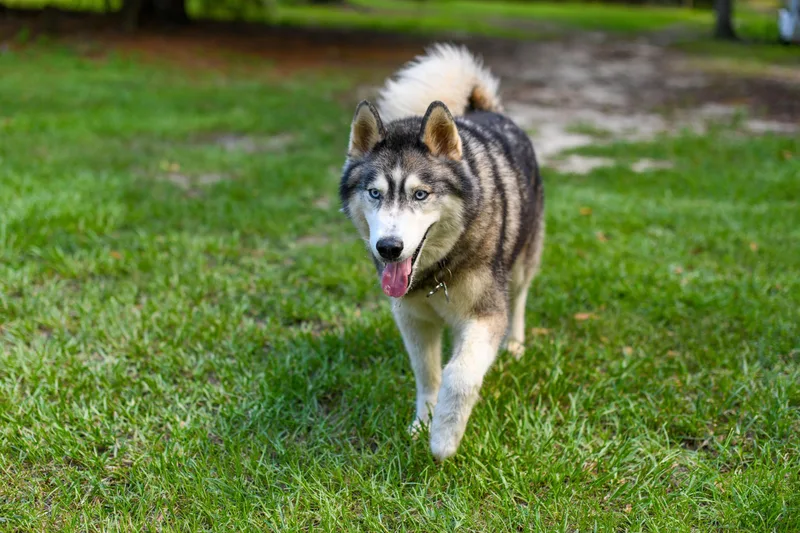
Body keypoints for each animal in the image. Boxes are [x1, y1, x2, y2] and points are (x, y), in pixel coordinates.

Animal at [339, 43, 545, 461]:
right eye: (374, 193)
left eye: (421, 194)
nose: (389, 248)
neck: (437, 271)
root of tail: (485, 108)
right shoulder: (413, 318)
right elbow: (428, 374)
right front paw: (422, 424)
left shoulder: (486, 314)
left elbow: (460, 372)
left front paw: (444, 438)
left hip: (523, 260)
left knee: (519, 299)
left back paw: (515, 345)